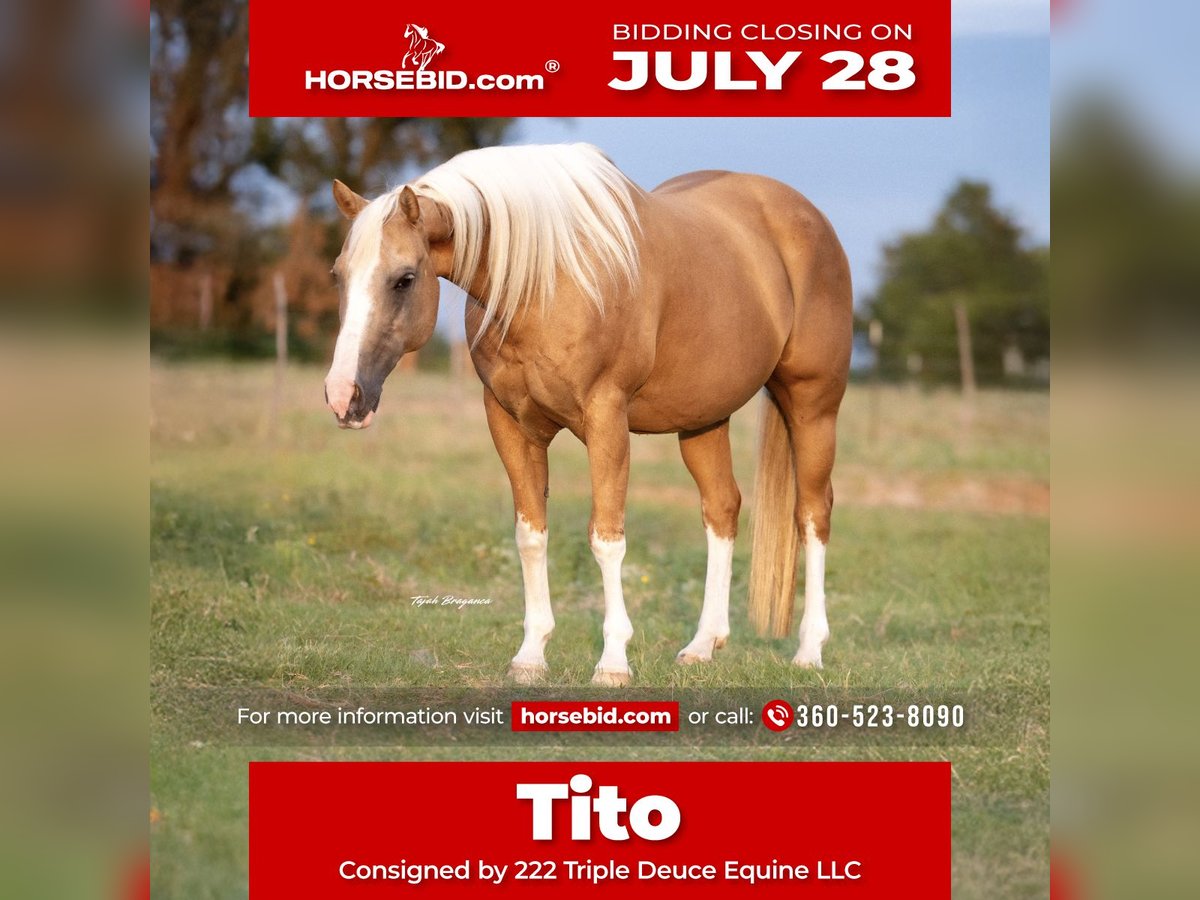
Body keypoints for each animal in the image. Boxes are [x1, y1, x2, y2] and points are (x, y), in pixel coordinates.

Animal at [324, 143, 852, 686]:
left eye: (404, 279)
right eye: (338, 276)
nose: (343, 396)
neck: (547, 279)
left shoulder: (606, 421)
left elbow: (606, 538)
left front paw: (613, 662)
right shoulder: (509, 423)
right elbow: (531, 536)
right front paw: (530, 656)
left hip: (813, 405)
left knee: (813, 513)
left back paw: (809, 650)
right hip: (704, 419)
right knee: (722, 509)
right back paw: (703, 645)